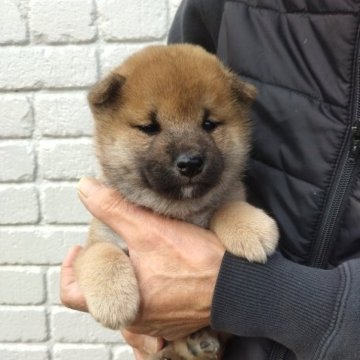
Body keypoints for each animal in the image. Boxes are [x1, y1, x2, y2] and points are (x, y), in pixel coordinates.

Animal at [75, 43, 278, 358]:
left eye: (209, 124)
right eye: (149, 127)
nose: (190, 163)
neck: (178, 211)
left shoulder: (226, 197)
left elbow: (227, 205)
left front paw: (252, 228)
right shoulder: (101, 238)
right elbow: (102, 254)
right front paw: (114, 299)